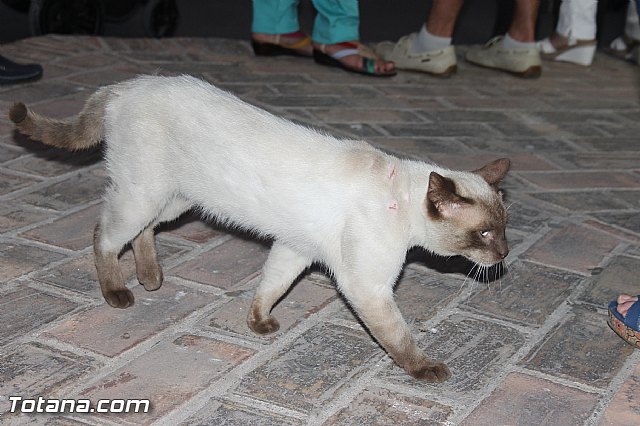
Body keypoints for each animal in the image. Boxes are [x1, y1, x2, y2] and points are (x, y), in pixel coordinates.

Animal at [8, 74, 510, 382]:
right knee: (103, 236)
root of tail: (125, 85)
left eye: (504, 230)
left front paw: (258, 323)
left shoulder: (295, 249)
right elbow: (399, 338)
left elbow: (270, 287)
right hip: (143, 195)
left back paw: (151, 278)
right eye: (485, 234)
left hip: (175, 199)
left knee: (144, 232)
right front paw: (427, 370)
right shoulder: (367, 286)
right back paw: (120, 293)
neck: (399, 199)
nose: (504, 256)